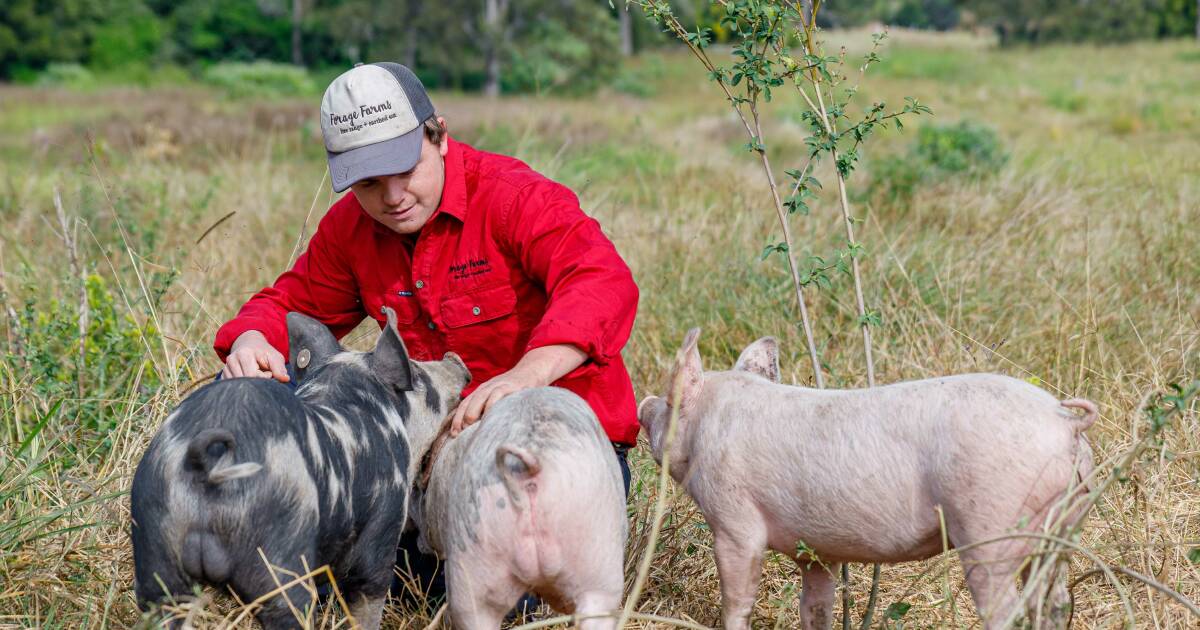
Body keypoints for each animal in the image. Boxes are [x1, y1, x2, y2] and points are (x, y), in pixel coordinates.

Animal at [130, 307, 468, 624]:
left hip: (155, 546)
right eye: (417, 376)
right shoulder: (382, 529)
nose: (455, 360)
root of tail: (206, 466)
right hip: (277, 558)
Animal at [638, 328, 1099, 628]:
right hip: (1065, 523)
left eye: (668, 401)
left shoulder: (732, 517)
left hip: (992, 520)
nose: (643, 404)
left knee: (1007, 607)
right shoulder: (816, 552)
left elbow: (737, 597)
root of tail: (1063, 420)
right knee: (1055, 601)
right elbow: (816, 607)